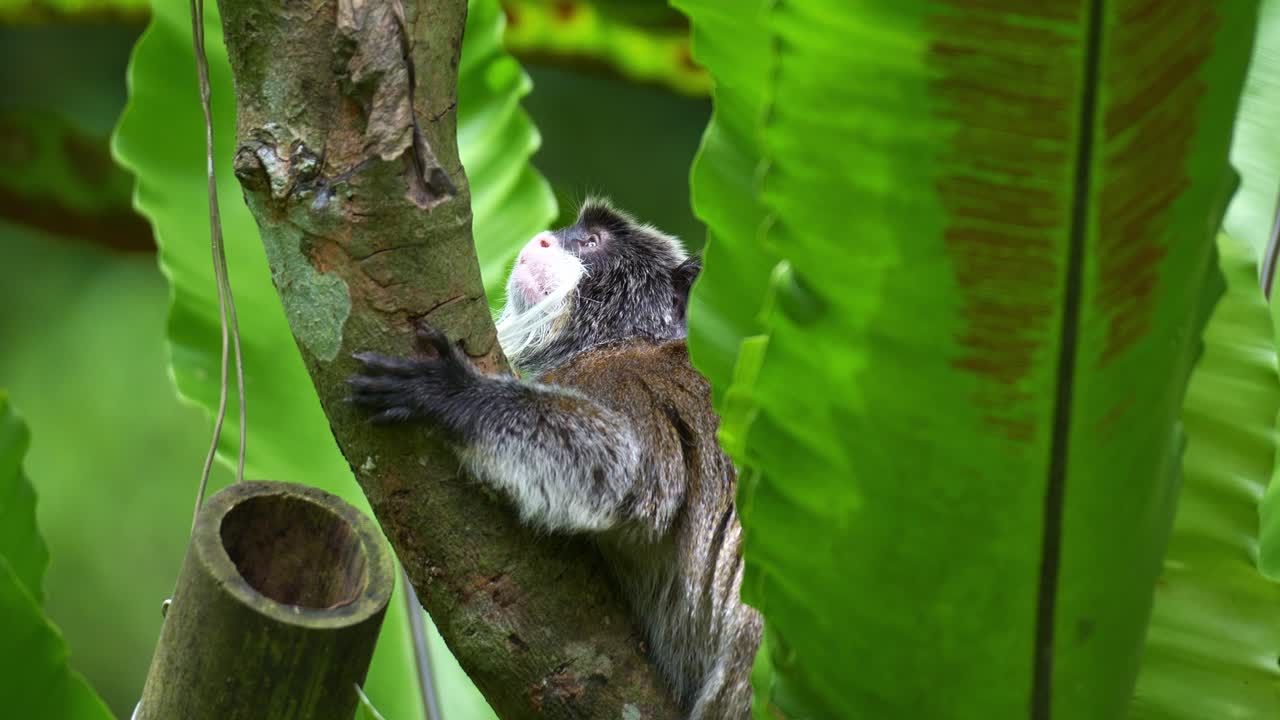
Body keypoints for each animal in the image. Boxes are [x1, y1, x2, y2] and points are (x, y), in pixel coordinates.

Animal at [347, 199, 762, 719]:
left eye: (592, 242)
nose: (544, 239)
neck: (620, 339)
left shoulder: (617, 379)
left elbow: (625, 472)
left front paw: (452, 394)